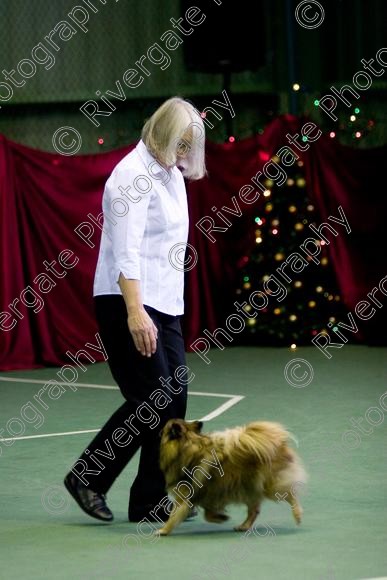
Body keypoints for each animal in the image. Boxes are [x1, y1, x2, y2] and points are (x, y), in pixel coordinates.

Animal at [156, 416, 308, 536]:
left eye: (164, 430)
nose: (159, 432)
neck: (187, 443)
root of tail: (277, 444)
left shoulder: (185, 496)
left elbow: (174, 516)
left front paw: (163, 530)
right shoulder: (209, 493)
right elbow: (208, 513)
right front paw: (221, 517)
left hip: (269, 485)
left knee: (290, 495)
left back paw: (298, 515)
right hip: (249, 487)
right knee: (254, 510)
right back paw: (243, 526)